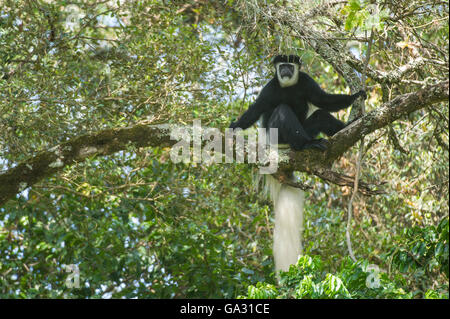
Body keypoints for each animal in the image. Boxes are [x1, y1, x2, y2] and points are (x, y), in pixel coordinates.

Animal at [229, 55, 366, 276]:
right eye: (282, 66)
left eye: (290, 66)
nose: (285, 70)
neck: (288, 86)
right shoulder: (270, 89)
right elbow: (255, 110)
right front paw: (233, 127)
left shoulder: (306, 81)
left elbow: (323, 100)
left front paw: (356, 96)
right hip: (278, 135)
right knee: (282, 111)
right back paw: (305, 144)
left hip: (308, 128)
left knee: (320, 115)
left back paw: (344, 130)